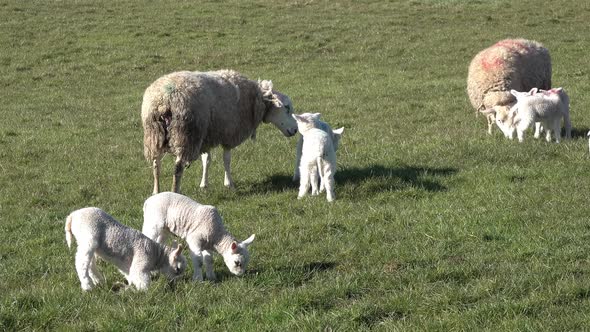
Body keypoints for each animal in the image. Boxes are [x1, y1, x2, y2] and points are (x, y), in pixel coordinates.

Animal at [142, 70, 298, 195]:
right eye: (287, 107)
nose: (295, 130)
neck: (255, 99)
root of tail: (163, 101)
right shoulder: (230, 133)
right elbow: (227, 159)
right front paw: (229, 183)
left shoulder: (207, 136)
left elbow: (206, 160)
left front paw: (204, 184)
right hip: (186, 135)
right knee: (177, 168)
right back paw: (175, 192)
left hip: (154, 135)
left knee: (156, 165)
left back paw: (156, 192)